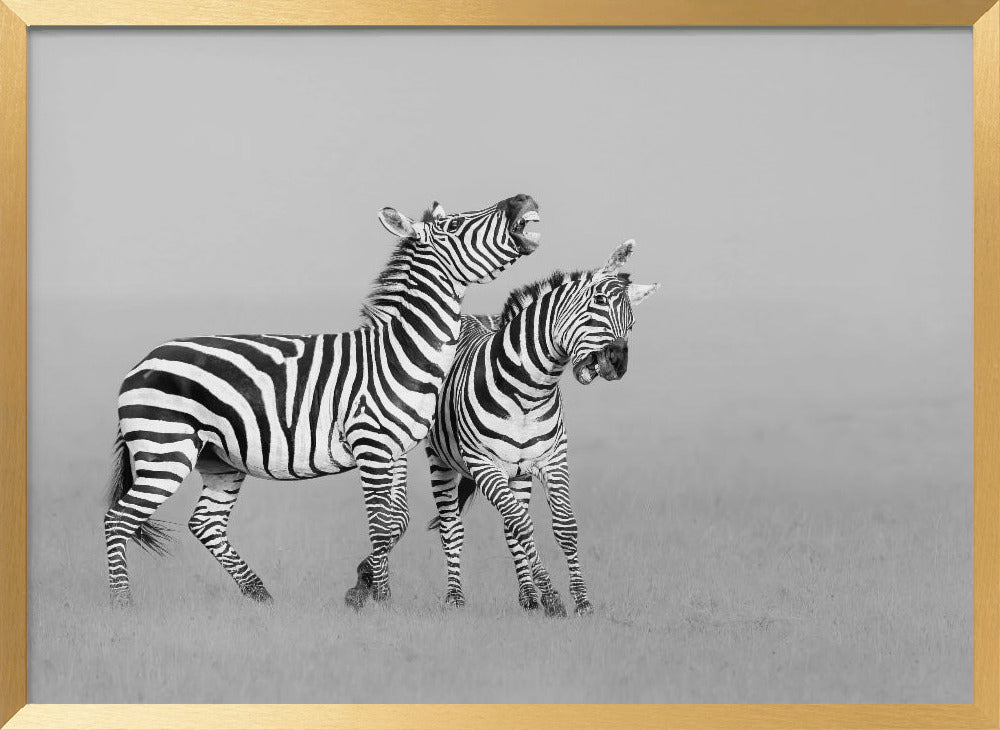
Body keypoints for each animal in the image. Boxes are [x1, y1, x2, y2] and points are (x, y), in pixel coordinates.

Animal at [103, 193, 541, 609]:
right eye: (454, 226)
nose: (522, 200)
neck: (401, 350)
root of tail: (141, 364)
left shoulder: (396, 450)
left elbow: (397, 520)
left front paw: (364, 584)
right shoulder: (372, 444)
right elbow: (380, 523)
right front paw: (381, 599)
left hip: (219, 459)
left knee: (205, 524)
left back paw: (260, 594)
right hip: (166, 450)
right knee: (117, 519)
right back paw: (123, 603)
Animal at [355, 239, 658, 615]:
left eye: (631, 322)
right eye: (596, 305)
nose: (618, 362)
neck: (529, 392)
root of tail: (466, 317)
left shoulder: (552, 460)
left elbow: (562, 527)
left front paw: (580, 600)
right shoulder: (485, 465)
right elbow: (523, 525)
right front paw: (553, 597)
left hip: (518, 471)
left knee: (507, 525)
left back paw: (527, 596)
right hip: (440, 460)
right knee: (449, 526)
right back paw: (453, 596)